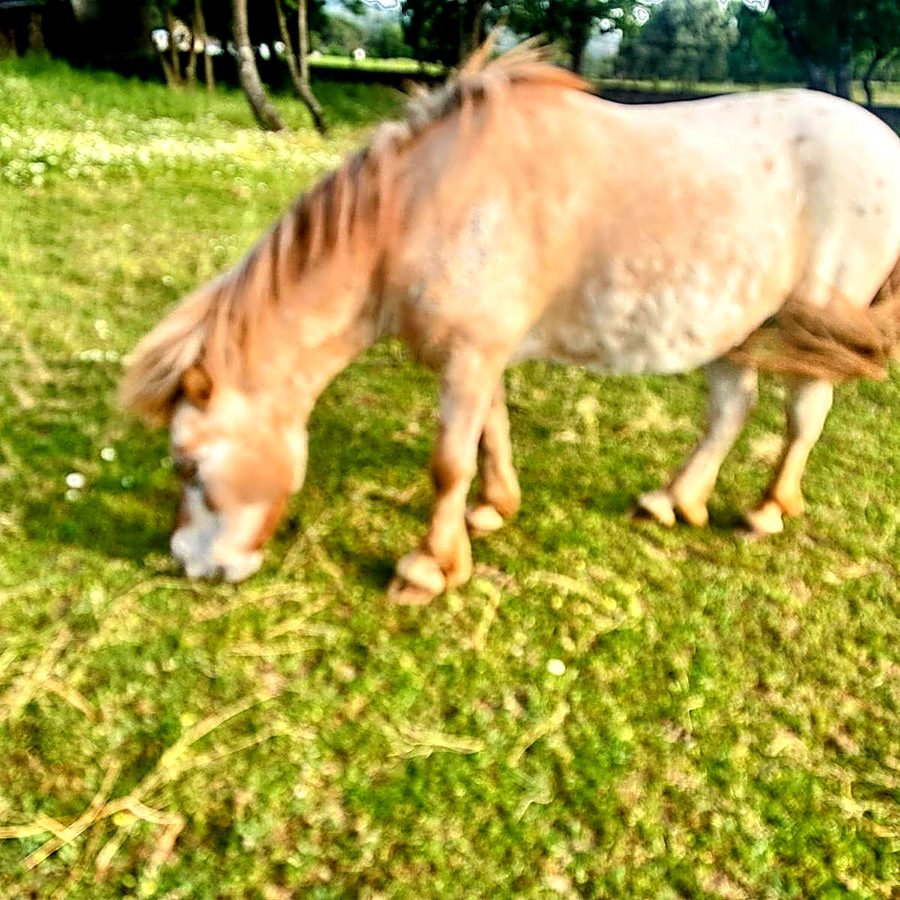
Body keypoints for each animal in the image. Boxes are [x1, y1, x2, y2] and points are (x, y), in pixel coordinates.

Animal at [120, 44, 900, 605]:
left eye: (185, 463)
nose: (192, 563)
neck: (420, 207)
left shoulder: (469, 357)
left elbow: (449, 462)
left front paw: (427, 570)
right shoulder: (479, 354)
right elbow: (490, 433)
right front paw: (493, 509)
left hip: (814, 325)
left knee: (802, 415)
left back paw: (766, 509)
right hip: (741, 323)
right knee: (733, 409)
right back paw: (675, 501)